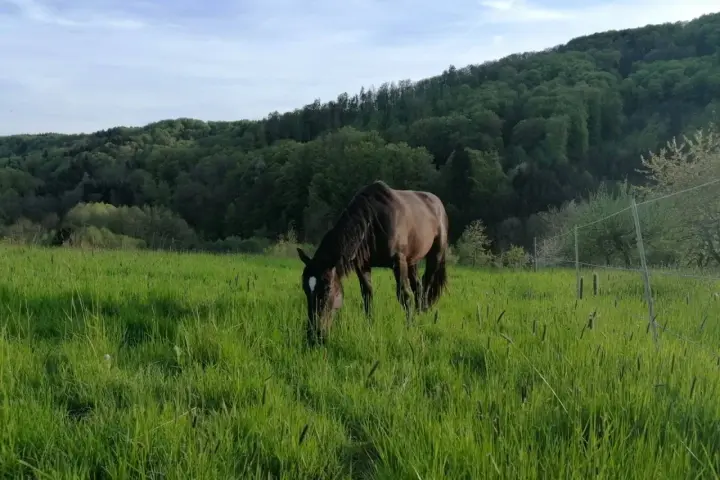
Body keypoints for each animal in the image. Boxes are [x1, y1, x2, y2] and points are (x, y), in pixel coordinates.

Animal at [296, 180, 449, 345]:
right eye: (305, 289)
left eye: (327, 288)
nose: (314, 336)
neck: (373, 221)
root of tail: (437, 203)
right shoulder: (363, 266)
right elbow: (367, 296)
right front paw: (369, 326)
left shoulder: (398, 261)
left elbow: (404, 295)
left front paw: (410, 327)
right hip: (412, 260)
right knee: (418, 287)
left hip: (435, 254)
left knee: (427, 284)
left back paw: (423, 315)